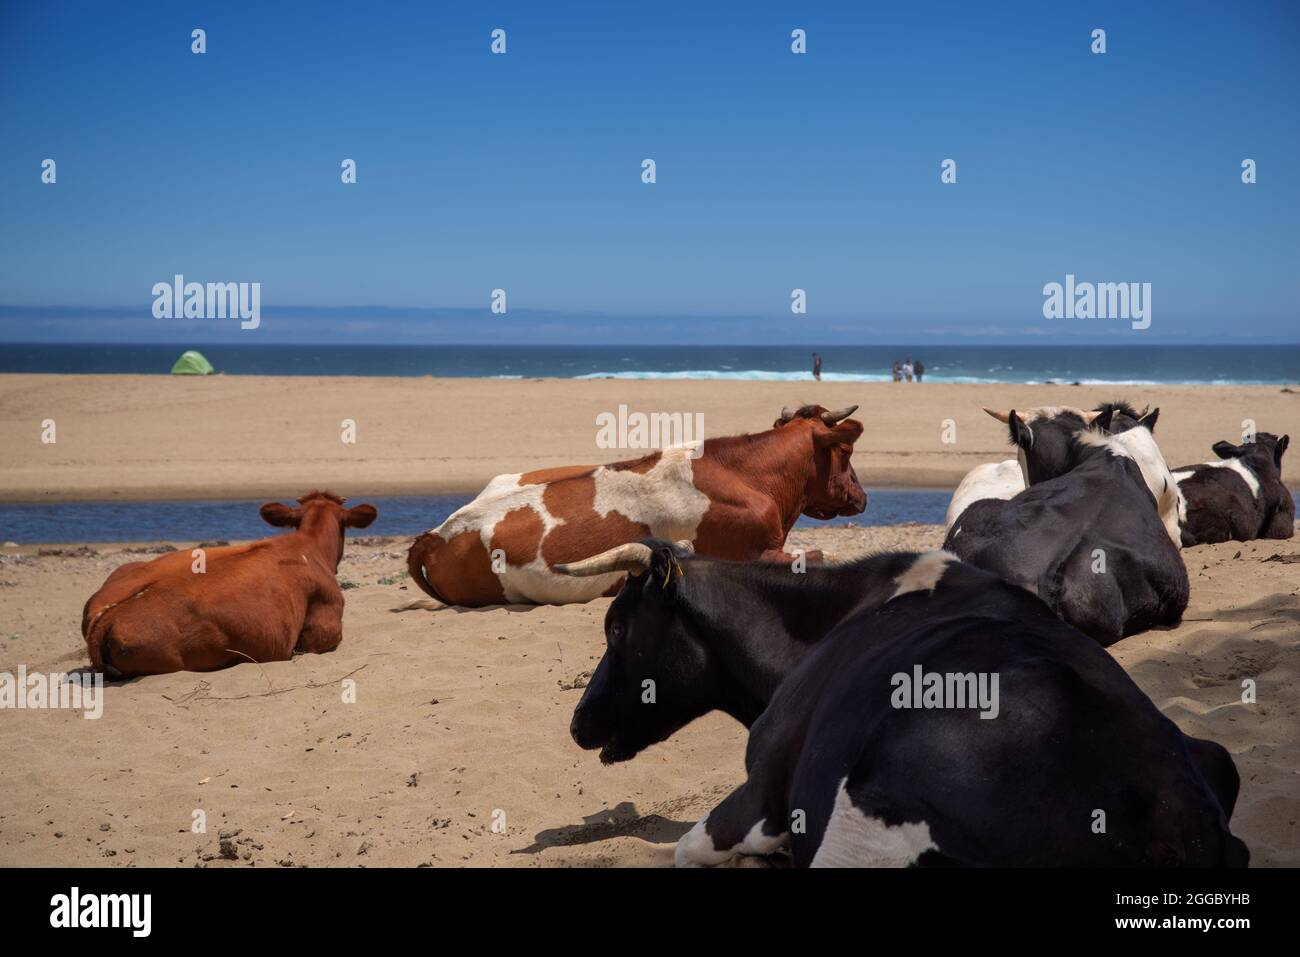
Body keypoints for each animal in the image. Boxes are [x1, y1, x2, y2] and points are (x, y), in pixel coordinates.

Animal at [405, 403, 868, 605]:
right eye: (845, 451)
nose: (862, 497)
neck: (750, 477)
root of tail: (435, 533)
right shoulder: (754, 552)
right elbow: (820, 557)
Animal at [553, 538, 1242, 868]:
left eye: (616, 627)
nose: (577, 722)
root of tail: (1173, 816)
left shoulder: (765, 787)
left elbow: (687, 849)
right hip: (1218, 755)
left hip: (858, 835)